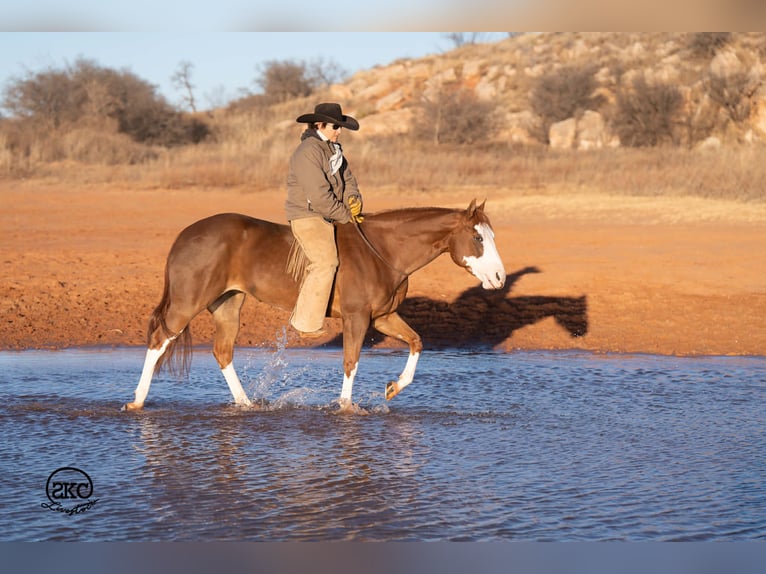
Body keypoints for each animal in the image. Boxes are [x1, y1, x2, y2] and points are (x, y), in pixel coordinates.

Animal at [122, 199, 506, 411]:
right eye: (477, 237)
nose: (500, 277)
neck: (382, 251)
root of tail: (185, 235)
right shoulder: (356, 318)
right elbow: (351, 361)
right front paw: (347, 407)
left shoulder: (383, 317)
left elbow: (416, 342)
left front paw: (393, 388)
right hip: (188, 302)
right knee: (159, 340)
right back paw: (137, 401)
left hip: (227, 304)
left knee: (222, 352)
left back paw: (246, 404)